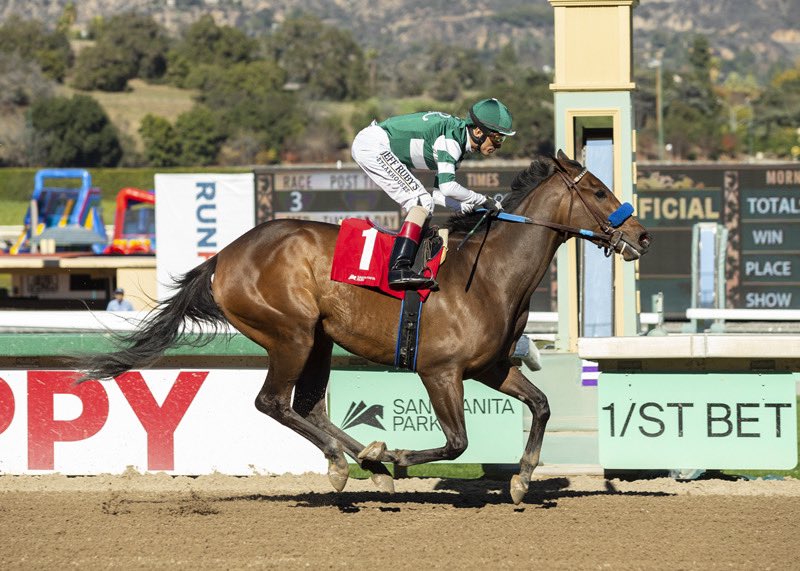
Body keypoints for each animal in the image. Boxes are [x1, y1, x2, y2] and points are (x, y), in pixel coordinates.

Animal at [78, 150, 651, 504]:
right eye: (598, 190)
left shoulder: (489, 367)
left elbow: (541, 404)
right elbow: (457, 442)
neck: (489, 274)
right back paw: (349, 462)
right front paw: (397, 456)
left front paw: (522, 481)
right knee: (273, 402)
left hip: (319, 341)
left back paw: (364, 462)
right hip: (292, 334)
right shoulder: (440, 371)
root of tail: (223, 256)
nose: (642, 235)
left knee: (307, 405)